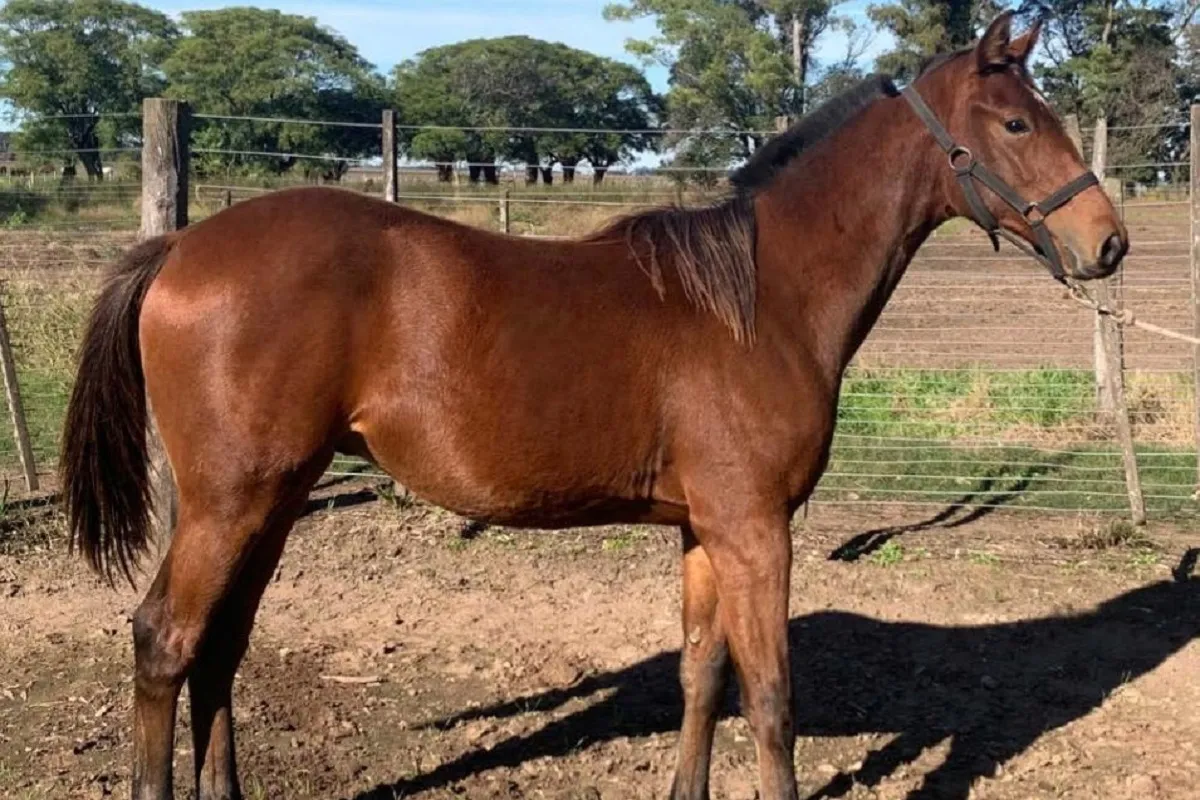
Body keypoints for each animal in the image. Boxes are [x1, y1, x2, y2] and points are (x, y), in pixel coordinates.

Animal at [60, 14, 1128, 800]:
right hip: (228, 502)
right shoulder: (756, 530)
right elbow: (772, 700)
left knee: (220, 649)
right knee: (165, 642)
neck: (763, 298)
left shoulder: (706, 529)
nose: (1108, 242)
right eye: (1018, 124)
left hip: (272, 501)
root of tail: (181, 248)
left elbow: (703, 676)